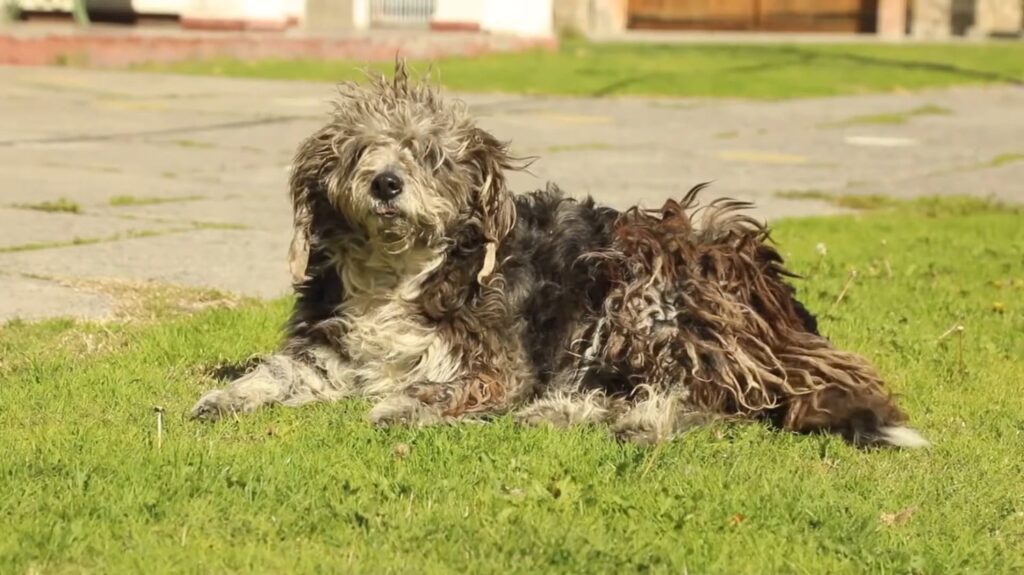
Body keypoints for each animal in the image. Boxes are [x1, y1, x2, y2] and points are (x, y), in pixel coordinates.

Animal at [190, 62, 929, 448]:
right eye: (359, 152)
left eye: (431, 155)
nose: (386, 183)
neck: (404, 273)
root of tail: (784, 323)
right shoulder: (329, 347)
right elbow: (276, 373)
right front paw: (224, 395)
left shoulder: (496, 365)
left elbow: (442, 386)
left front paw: (404, 406)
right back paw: (566, 412)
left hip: (644, 286)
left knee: (695, 394)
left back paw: (626, 421)